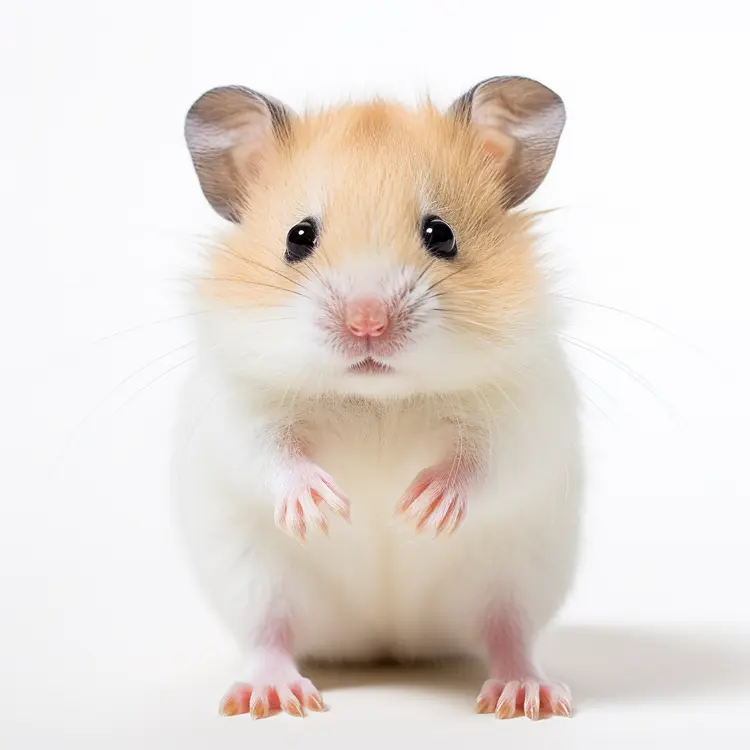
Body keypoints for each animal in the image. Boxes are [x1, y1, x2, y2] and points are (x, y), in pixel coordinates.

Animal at [174, 76, 581, 721]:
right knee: (269, 637)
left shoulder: (524, 409)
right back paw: (274, 695)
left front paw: (421, 510)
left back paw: (525, 695)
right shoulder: (239, 406)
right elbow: (270, 455)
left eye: (441, 233)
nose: (368, 322)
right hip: (253, 581)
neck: (378, 398)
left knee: (508, 636)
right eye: (298, 237)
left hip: (519, 576)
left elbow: (485, 460)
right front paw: (322, 509)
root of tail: (387, 645)